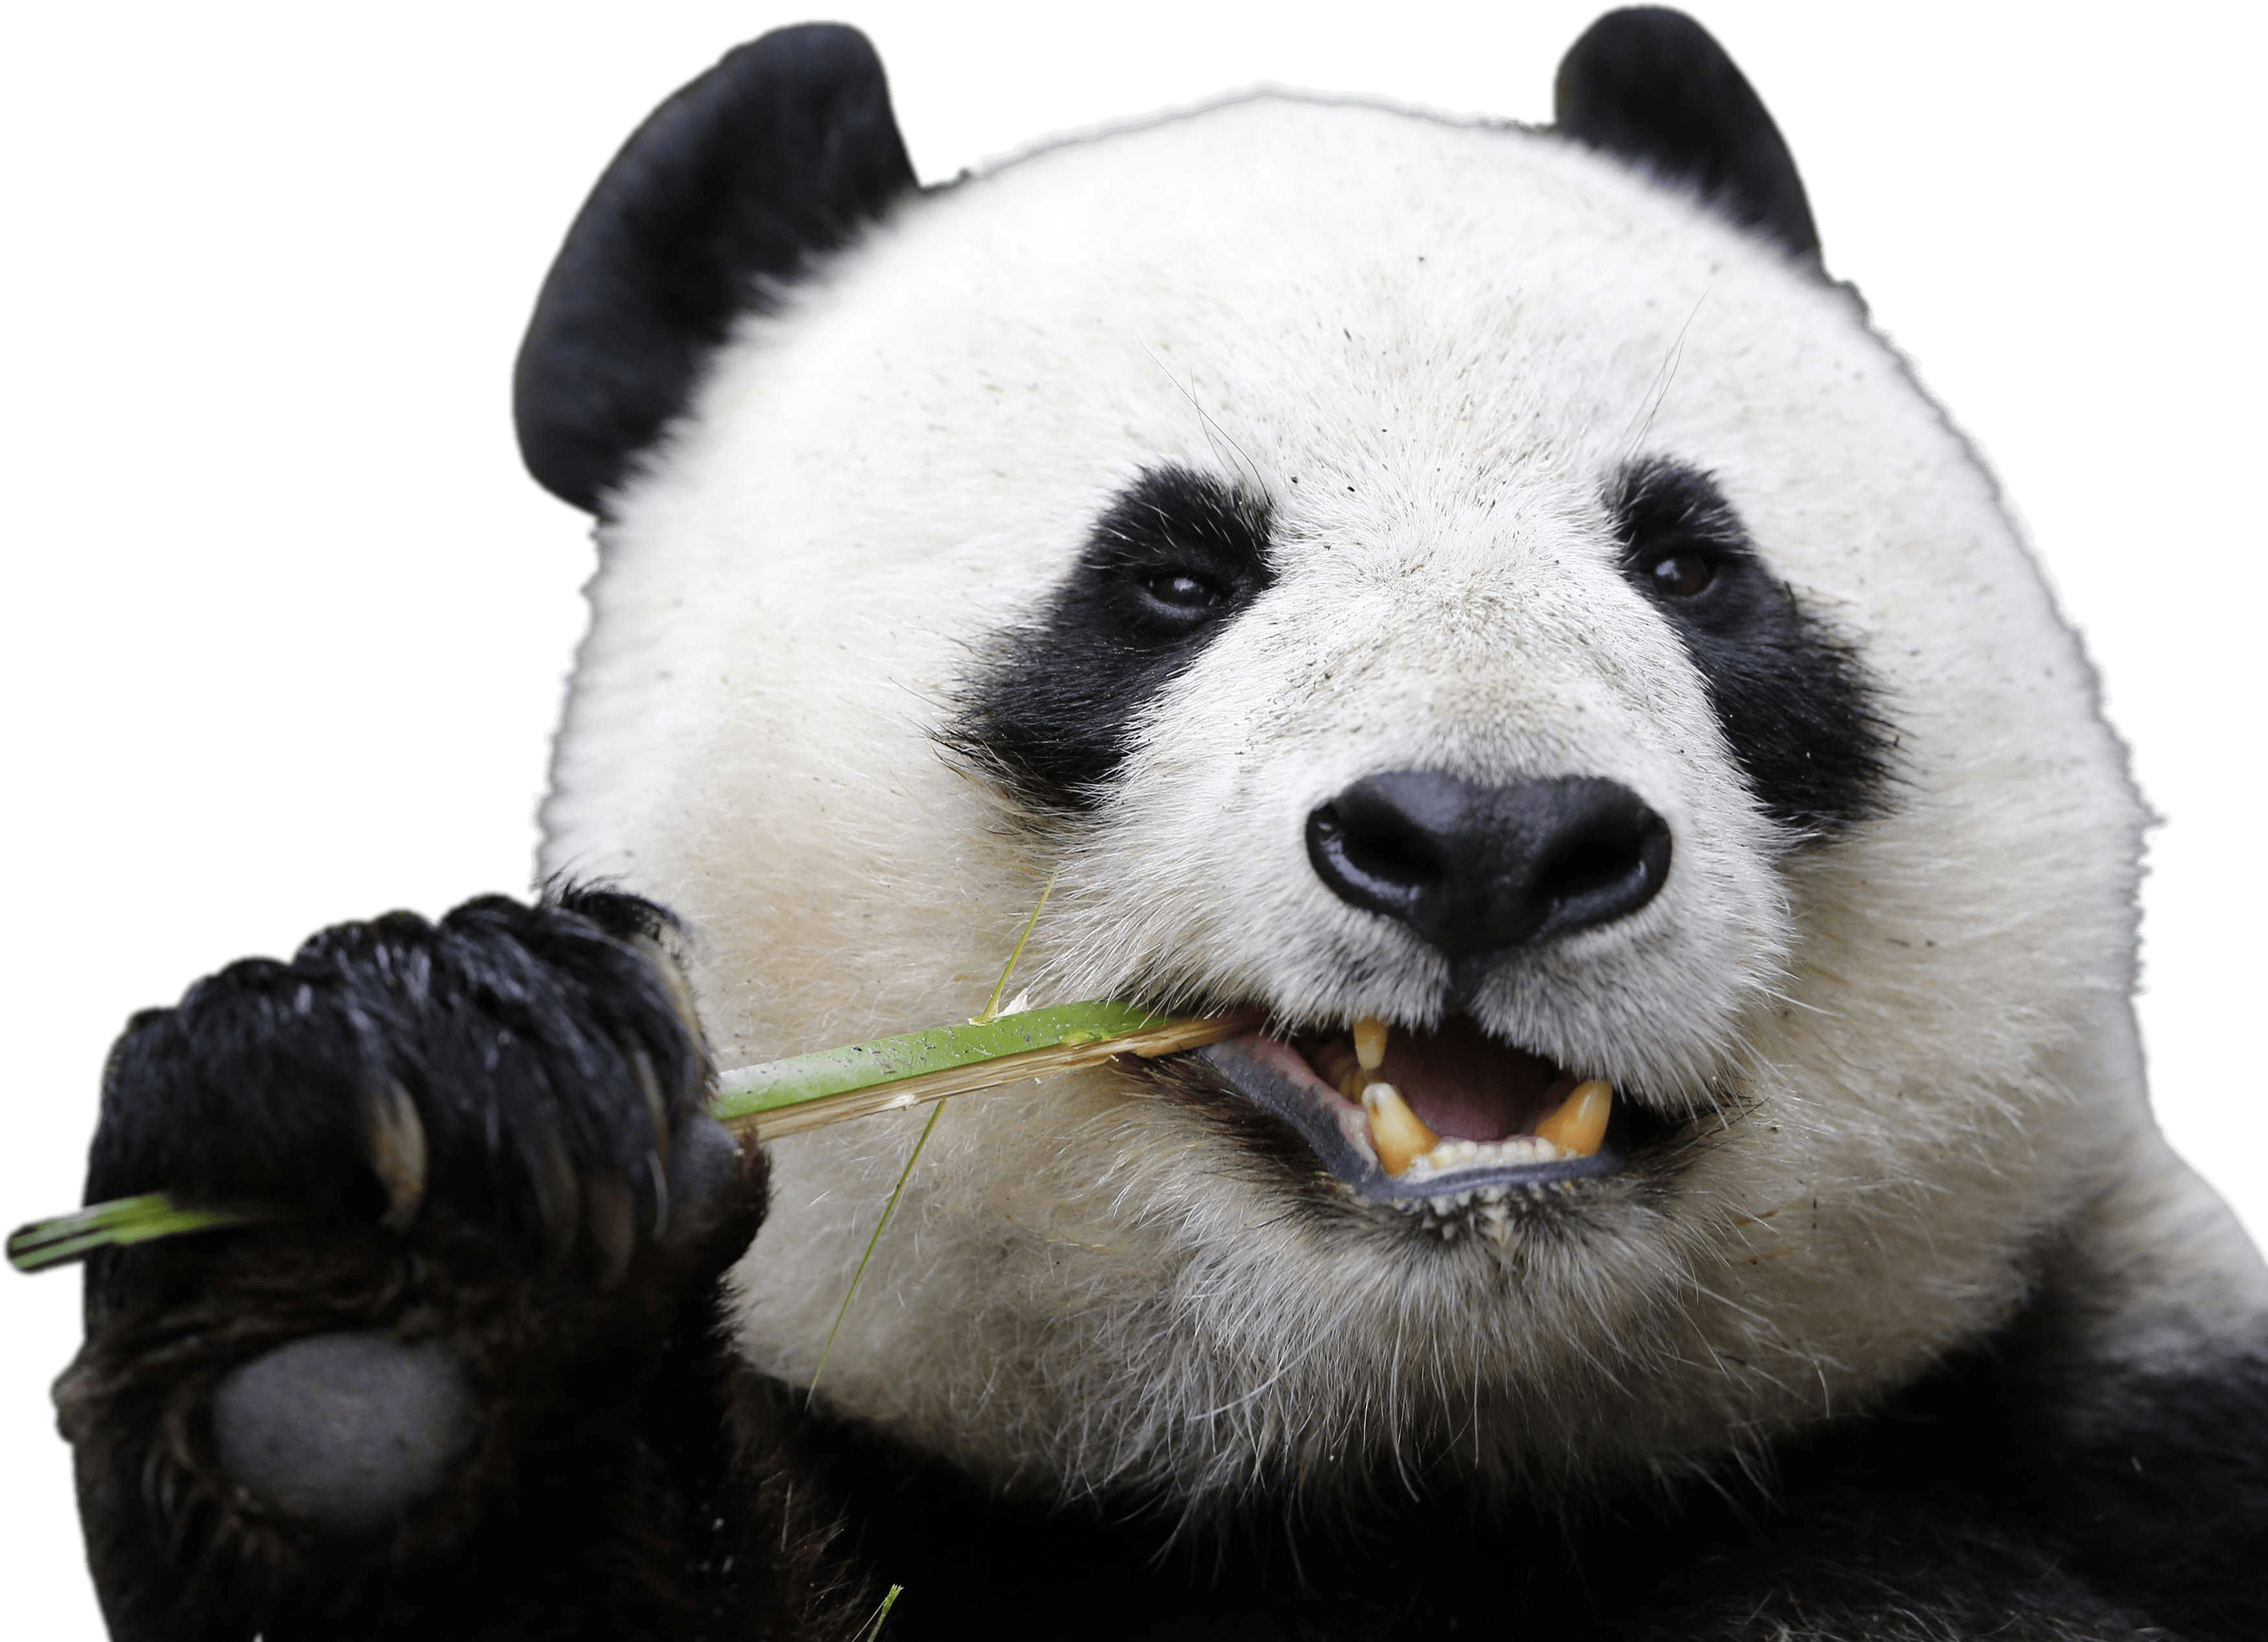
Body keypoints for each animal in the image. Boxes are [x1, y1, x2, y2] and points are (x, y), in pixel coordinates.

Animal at [37, 7, 2266, 1638]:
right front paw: (380, 1253)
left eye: (1693, 570)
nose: (1487, 836)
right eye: (1171, 578)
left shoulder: (2132, 1421)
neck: (1390, 1467)